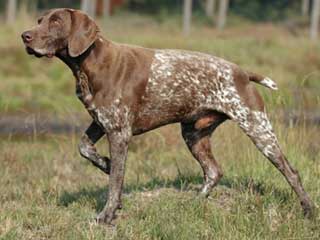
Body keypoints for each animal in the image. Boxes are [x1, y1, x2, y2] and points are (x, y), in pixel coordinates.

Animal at [21, 8, 316, 224]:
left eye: (56, 21)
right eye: (39, 21)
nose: (25, 36)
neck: (90, 62)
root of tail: (242, 72)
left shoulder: (119, 132)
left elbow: (115, 182)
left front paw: (107, 214)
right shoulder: (101, 121)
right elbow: (84, 148)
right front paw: (104, 163)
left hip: (258, 129)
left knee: (291, 172)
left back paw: (308, 209)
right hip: (194, 134)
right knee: (214, 171)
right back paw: (195, 202)